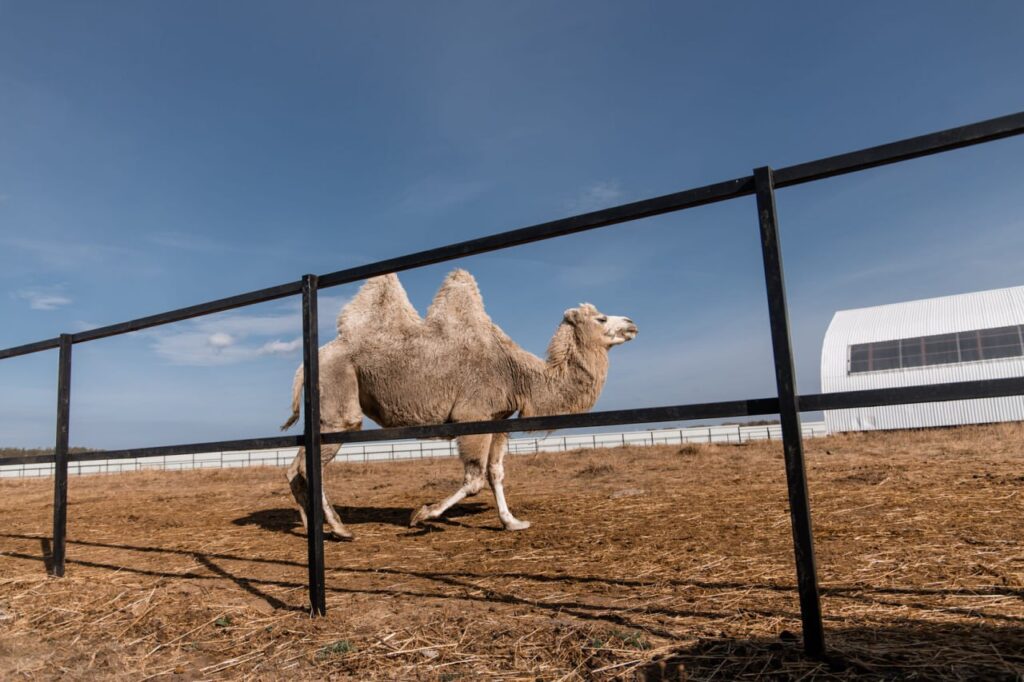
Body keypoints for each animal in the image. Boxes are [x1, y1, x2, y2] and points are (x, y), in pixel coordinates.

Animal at [276, 268, 634, 540]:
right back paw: (340, 529)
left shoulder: (499, 418)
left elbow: (496, 473)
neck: (517, 373)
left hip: (326, 413)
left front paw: (512, 522)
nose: (631, 323)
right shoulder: (472, 415)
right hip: (340, 400)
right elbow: (474, 479)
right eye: (601, 319)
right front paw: (422, 514)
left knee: (296, 466)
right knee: (313, 463)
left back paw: (312, 528)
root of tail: (304, 365)